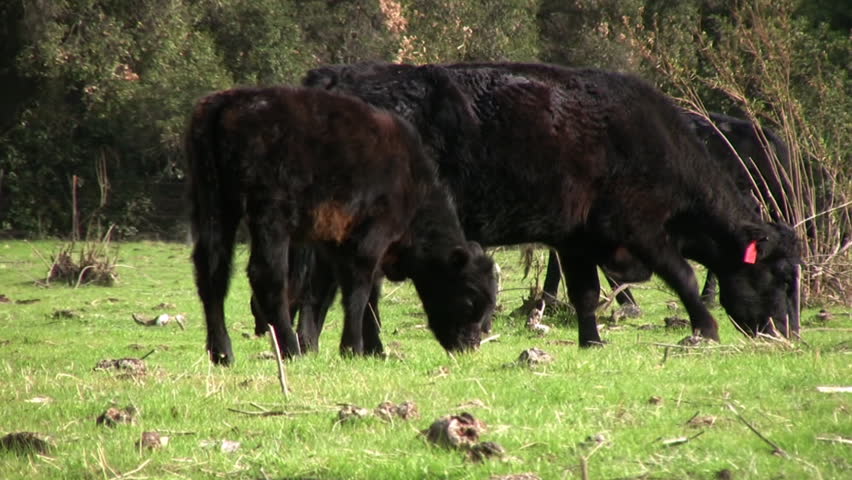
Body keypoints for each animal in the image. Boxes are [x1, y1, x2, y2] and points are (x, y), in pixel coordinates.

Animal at [187, 86, 497, 365]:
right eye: (469, 298)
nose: (470, 344)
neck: (411, 182)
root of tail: (228, 100)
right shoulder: (368, 242)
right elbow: (358, 294)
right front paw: (352, 348)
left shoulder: (337, 245)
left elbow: (364, 296)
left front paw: (375, 350)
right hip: (270, 217)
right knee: (267, 275)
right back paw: (291, 350)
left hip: (214, 207)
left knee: (212, 273)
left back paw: (222, 354)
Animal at [302, 61, 802, 347]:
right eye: (781, 275)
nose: (788, 333)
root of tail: (338, 75)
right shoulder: (640, 226)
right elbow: (682, 274)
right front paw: (706, 327)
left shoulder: (577, 237)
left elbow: (586, 292)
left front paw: (592, 341)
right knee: (355, 282)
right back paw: (357, 346)